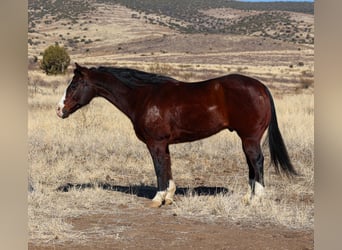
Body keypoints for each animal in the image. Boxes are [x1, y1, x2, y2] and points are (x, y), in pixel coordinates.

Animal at [56, 63, 296, 208]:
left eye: (74, 84)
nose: (59, 110)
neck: (143, 96)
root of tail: (260, 87)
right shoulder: (164, 144)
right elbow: (167, 166)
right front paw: (169, 196)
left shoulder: (155, 143)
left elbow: (159, 168)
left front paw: (158, 199)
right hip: (246, 139)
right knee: (251, 164)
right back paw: (248, 197)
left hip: (250, 139)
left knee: (257, 161)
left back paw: (257, 198)